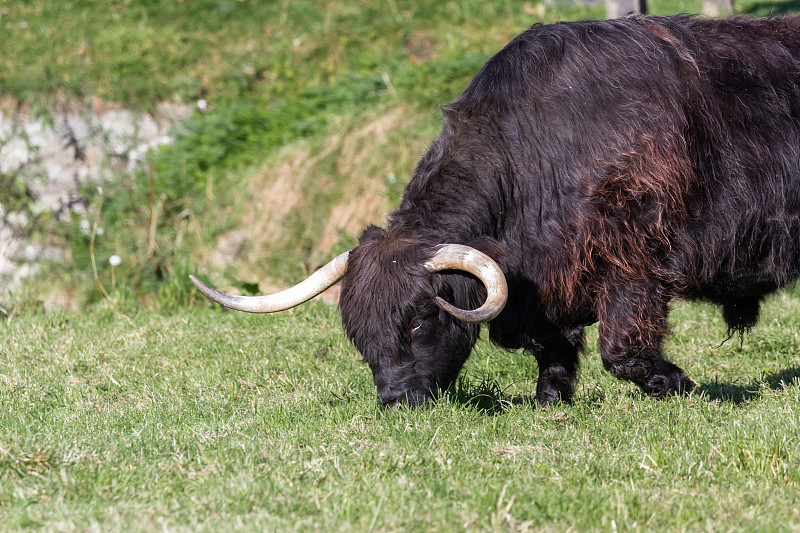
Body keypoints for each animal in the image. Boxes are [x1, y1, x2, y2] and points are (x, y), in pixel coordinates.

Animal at [192, 15, 800, 408]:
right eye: (358, 334)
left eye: (419, 320)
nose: (394, 400)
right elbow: (550, 346)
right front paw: (550, 399)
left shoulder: (635, 255)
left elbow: (623, 348)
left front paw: (682, 385)